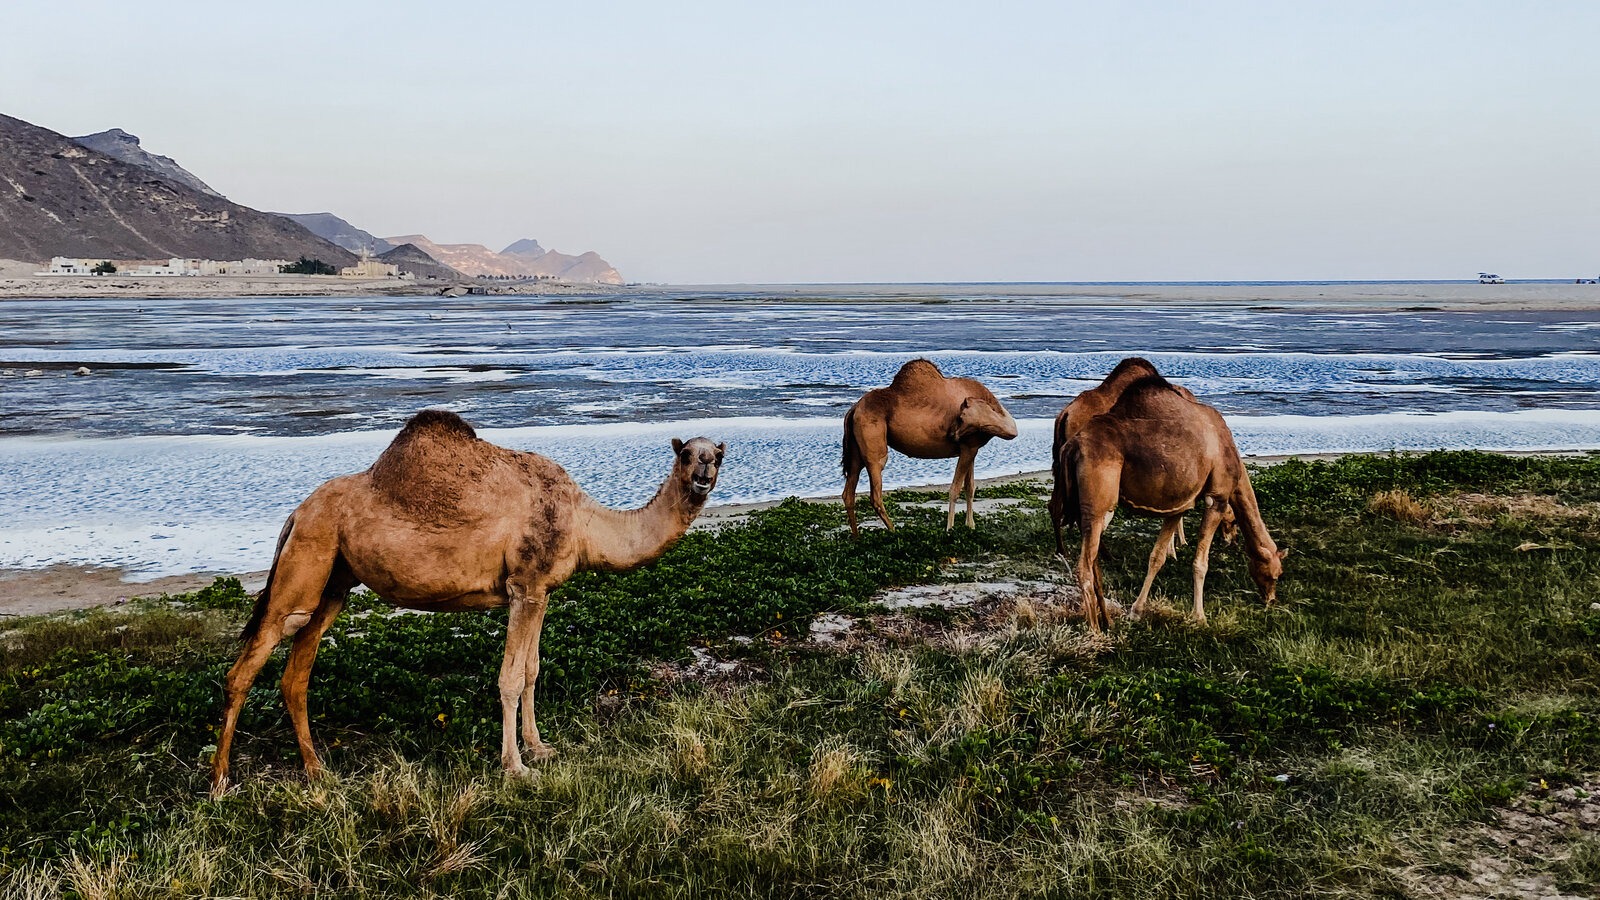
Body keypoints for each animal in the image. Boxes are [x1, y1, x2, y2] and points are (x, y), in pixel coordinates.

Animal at [211, 408, 726, 791]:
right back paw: (219, 783)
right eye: (686, 454)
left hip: (334, 581)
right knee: (246, 667)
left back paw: (317, 771)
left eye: (717, 455)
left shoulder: (540, 592)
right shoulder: (524, 586)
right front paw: (515, 767)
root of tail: (296, 513)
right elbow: (510, 679)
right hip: (306, 559)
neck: (585, 525)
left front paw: (540, 748)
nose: (702, 472)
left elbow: (533, 670)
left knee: (296, 674)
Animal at [844, 355, 1017, 531]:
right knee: (876, 493)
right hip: (873, 442)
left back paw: (857, 536)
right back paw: (894, 531)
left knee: (849, 492)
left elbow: (970, 487)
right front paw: (950, 529)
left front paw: (970, 526)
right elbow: (955, 488)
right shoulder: (968, 447)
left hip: (856, 450)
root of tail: (854, 408)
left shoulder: (971, 448)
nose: (952, 434)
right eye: (960, 416)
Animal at [1062, 374, 1286, 634]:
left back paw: (1108, 620)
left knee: (1093, 560)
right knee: (1084, 566)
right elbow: (1200, 563)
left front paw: (1136, 611)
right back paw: (1095, 630)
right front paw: (1200, 617)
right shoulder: (1217, 497)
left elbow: (1157, 558)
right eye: (1276, 574)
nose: (1271, 600)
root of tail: (1072, 446)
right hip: (1100, 502)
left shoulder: (1178, 506)